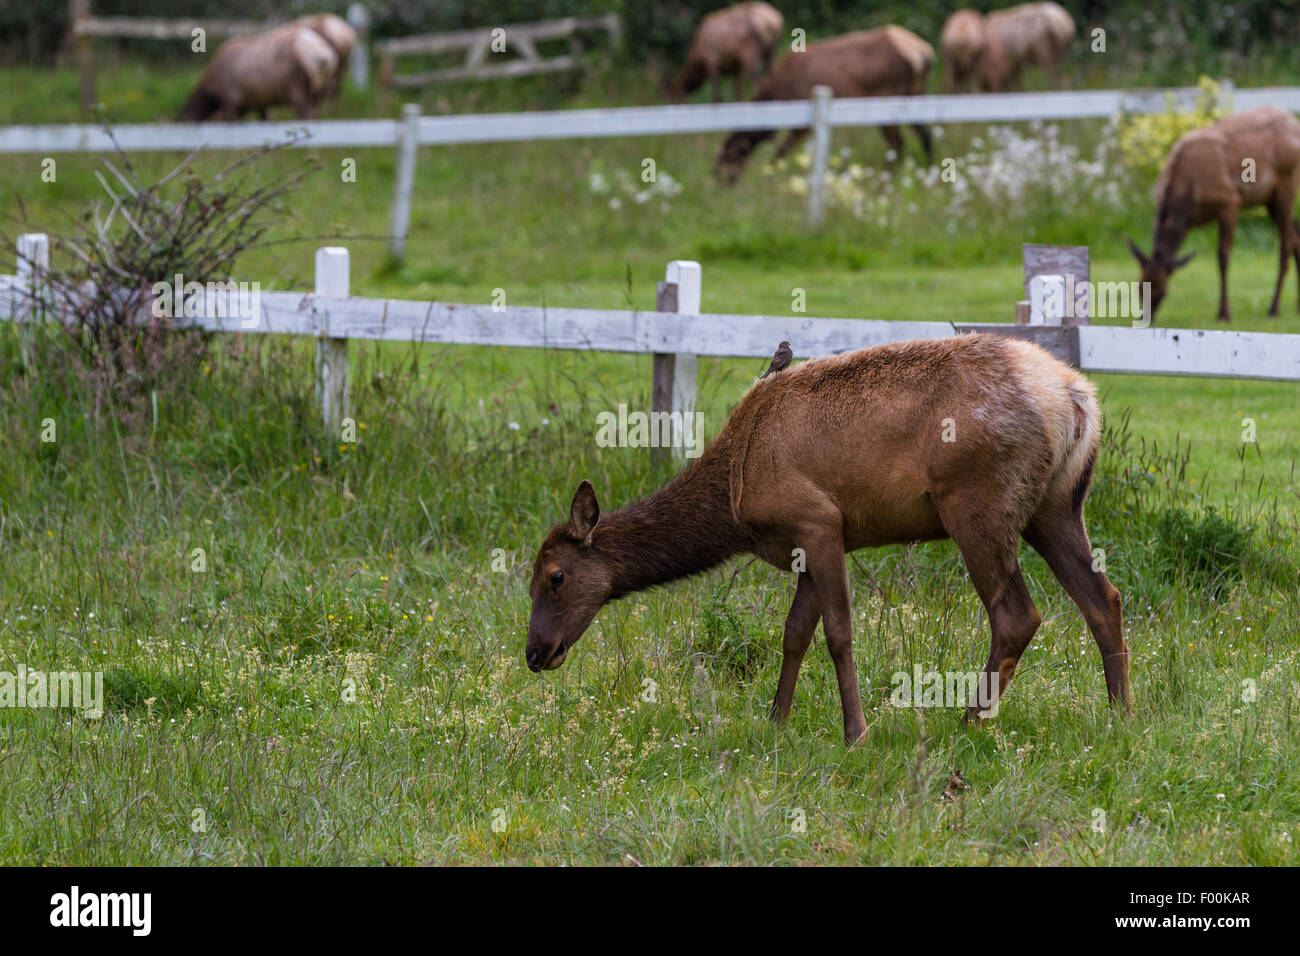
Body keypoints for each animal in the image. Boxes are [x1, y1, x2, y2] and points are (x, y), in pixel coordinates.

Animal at [178, 23, 340, 121]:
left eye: (184, 122)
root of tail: (324, 55)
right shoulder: (260, 103)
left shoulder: (230, 100)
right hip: (320, 91)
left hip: (299, 90)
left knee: (310, 117)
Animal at [525, 335, 1128, 749]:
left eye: (555, 576)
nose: (535, 653)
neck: (733, 499)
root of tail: (1078, 398)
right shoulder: (805, 545)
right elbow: (794, 633)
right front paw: (776, 722)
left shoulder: (818, 521)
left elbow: (837, 633)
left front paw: (855, 732)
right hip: (1056, 505)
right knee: (1104, 597)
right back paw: (1121, 714)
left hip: (977, 502)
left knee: (1017, 613)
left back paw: (967, 722)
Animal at [712, 25, 935, 184]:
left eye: (728, 159)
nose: (720, 185)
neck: (777, 93)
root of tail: (923, 54)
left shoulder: (802, 120)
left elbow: (780, 153)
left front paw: (768, 179)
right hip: (914, 95)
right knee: (924, 134)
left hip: (886, 101)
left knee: (898, 143)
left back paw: (884, 181)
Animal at [1128, 107, 1300, 325]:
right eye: (1139, 287)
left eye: (1163, 292)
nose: (1145, 319)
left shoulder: (1230, 201)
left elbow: (1223, 257)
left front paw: (1224, 313)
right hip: (1270, 199)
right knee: (1296, 236)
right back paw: (1296, 306)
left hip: (1287, 185)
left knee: (1286, 244)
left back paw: (1274, 309)